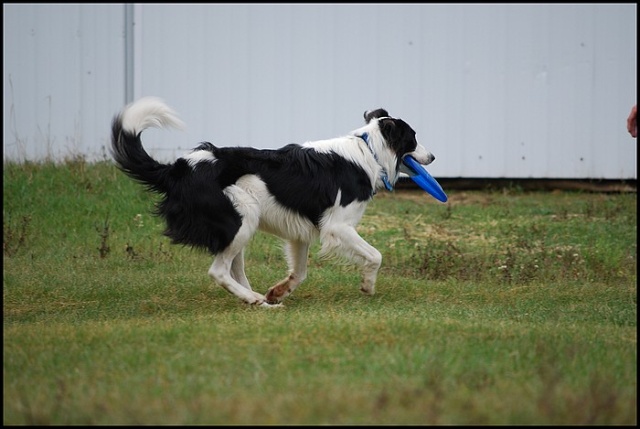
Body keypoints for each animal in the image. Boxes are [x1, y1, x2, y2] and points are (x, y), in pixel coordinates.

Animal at [111, 97, 436, 306]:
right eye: (413, 138)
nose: (433, 157)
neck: (368, 150)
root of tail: (178, 168)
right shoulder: (337, 227)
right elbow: (375, 255)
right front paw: (368, 285)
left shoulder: (301, 231)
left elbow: (300, 272)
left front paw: (279, 291)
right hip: (241, 217)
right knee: (219, 270)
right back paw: (251, 298)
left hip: (238, 225)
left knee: (234, 268)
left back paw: (260, 301)